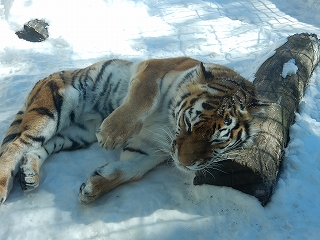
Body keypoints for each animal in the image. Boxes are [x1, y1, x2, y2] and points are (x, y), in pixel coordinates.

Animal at [0, 56, 266, 204]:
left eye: (217, 141)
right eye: (189, 124)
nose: (184, 163)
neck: (170, 123)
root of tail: (43, 79)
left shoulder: (150, 150)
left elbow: (127, 171)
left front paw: (92, 188)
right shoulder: (154, 69)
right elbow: (143, 98)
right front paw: (110, 134)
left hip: (76, 133)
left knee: (38, 147)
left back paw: (29, 174)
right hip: (53, 109)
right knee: (18, 144)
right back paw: (3, 185)